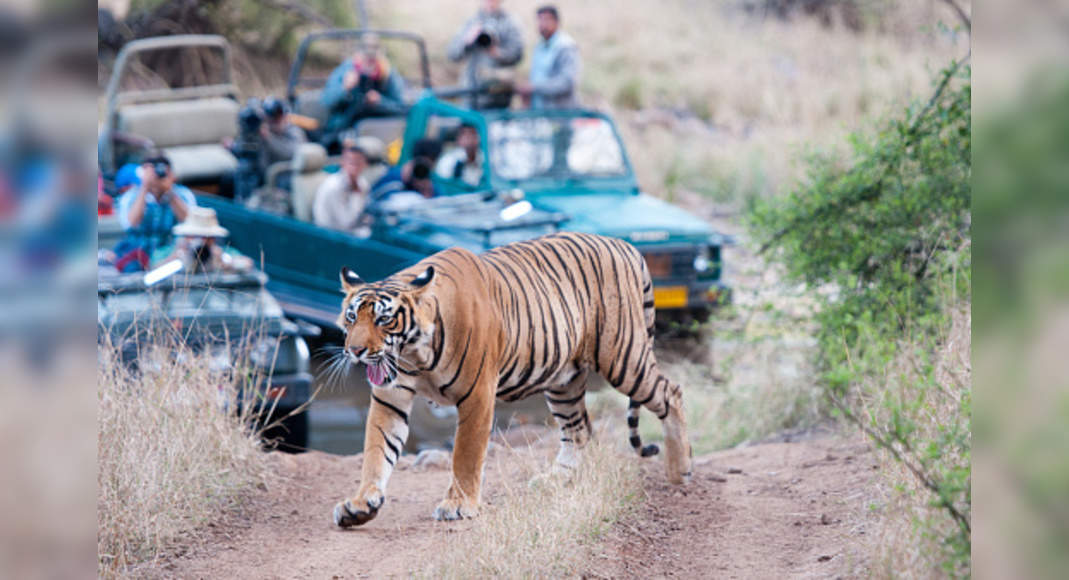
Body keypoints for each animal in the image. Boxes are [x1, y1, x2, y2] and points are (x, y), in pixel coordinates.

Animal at [337, 230, 696, 525]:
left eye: (384, 320)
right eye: (352, 317)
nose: (355, 351)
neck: (415, 353)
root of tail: (625, 245)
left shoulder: (477, 395)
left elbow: (465, 454)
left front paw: (459, 505)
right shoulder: (390, 397)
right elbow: (377, 450)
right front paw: (360, 504)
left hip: (624, 357)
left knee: (672, 393)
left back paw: (680, 471)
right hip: (564, 380)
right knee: (579, 429)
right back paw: (555, 480)